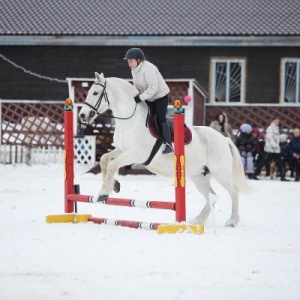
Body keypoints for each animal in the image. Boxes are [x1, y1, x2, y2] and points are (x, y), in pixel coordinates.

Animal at [78, 73, 250, 227]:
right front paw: (114, 185)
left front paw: (104, 193)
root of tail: (224, 139)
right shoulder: (121, 150)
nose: (82, 115)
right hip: (199, 175)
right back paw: (197, 220)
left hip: (220, 172)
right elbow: (104, 160)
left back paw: (232, 221)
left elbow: (112, 165)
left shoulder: (134, 154)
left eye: (95, 93)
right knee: (211, 197)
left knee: (233, 191)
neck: (131, 119)